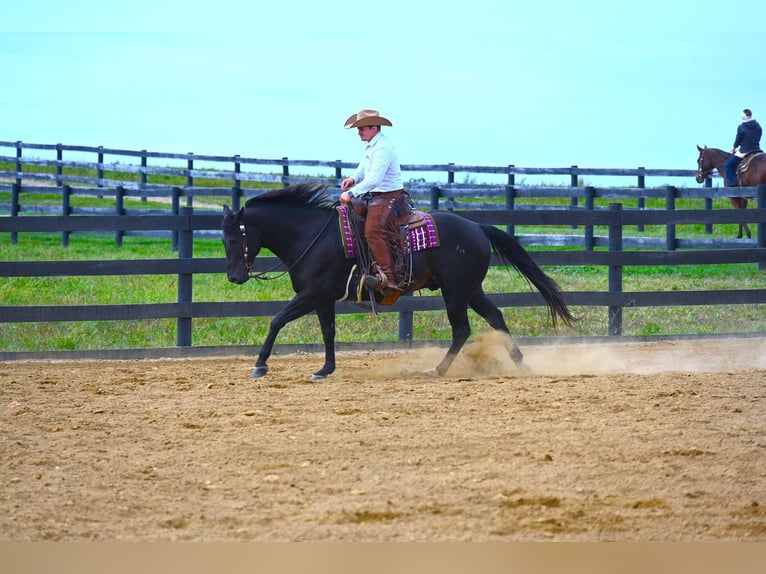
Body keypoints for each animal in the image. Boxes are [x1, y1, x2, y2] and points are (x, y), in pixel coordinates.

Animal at [222, 184, 576, 382]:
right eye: (223, 239)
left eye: (234, 238)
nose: (234, 277)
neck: (312, 236)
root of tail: (477, 226)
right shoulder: (322, 298)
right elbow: (328, 332)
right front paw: (324, 370)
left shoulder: (312, 293)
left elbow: (276, 320)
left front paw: (260, 365)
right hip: (471, 290)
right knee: (496, 318)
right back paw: (519, 363)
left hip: (455, 292)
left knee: (462, 329)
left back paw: (438, 370)